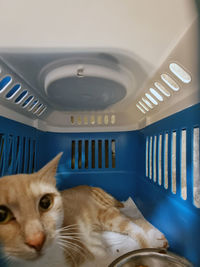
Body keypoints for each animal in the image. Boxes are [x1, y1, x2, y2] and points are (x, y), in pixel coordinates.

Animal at [0, 153, 169, 267]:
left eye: (45, 203)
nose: (37, 239)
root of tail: (90, 186)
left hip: (107, 216)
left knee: (133, 225)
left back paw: (151, 243)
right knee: (135, 219)